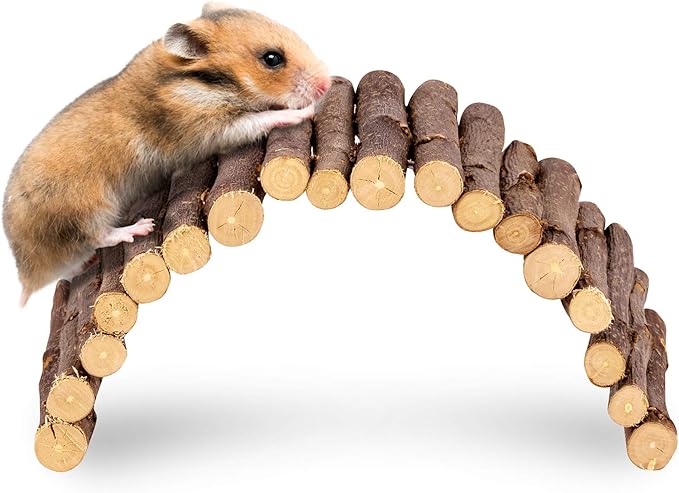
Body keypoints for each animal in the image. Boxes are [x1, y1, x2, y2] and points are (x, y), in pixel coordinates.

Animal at [2, 2, 331, 305]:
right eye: (272, 59)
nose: (326, 83)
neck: (203, 80)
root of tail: (26, 273)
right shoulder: (207, 128)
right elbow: (258, 119)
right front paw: (303, 111)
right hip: (85, 207)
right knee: (98, 235)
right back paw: (139, 228)